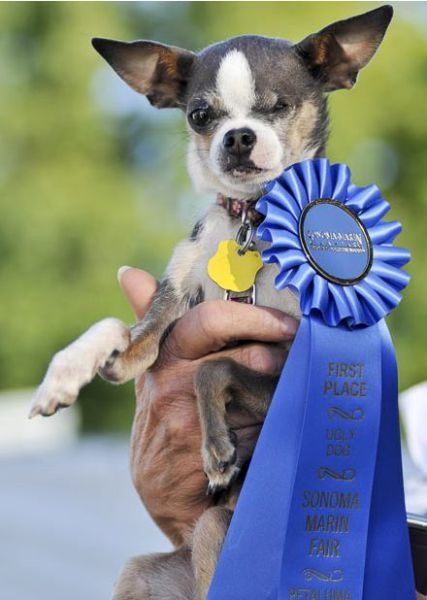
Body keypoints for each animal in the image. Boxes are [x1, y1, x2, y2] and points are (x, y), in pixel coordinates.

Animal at [28, 5, 392, 600]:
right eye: (201, 116)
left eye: (279, 107)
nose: (238, 137)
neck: (256, 223)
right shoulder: (160, 324)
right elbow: (120, 333)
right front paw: (63, 373)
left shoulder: (292, 366)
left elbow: (213, 368)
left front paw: (217, 449)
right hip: (159, 562)